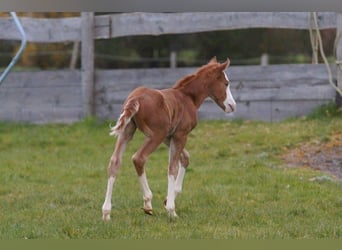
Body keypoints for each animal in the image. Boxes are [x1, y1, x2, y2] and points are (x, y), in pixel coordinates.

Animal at [101, 57, 235, 221]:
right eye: (226, 83)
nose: (232, 105)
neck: (187, 97)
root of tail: (135, 99)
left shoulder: (169, 136)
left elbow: (185, 158)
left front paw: (168, 199)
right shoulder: (180, 135)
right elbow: (173, 166)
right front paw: (171, 209)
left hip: (128, 131)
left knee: (115, 162)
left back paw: (106, 212)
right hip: (155, 135)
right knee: (139, 158)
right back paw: (148, 202)